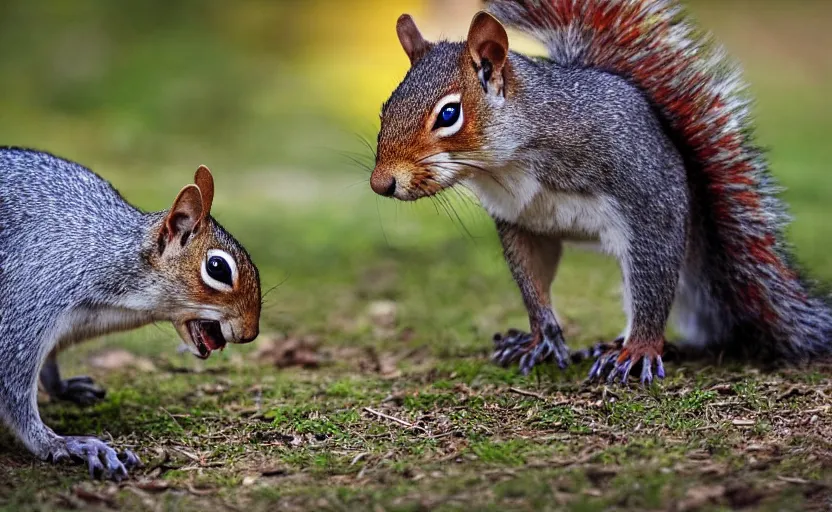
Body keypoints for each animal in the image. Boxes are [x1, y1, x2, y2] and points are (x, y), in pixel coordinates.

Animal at [0, 148, 260, 480]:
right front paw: (62, 443)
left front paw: (62, 388)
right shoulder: (29, 303)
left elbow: (49, 365)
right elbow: (15, 390)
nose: (250, 332)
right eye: (217, 268)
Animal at [370, 0, 832, 382]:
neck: (509, 164)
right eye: (385, 107)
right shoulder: (522, 222)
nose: (381, 183)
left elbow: (652, 284)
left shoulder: (651, 200)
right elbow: (533, 280)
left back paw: (627, 348)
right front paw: (541, 336)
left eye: (449, 114)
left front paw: (640, 351)